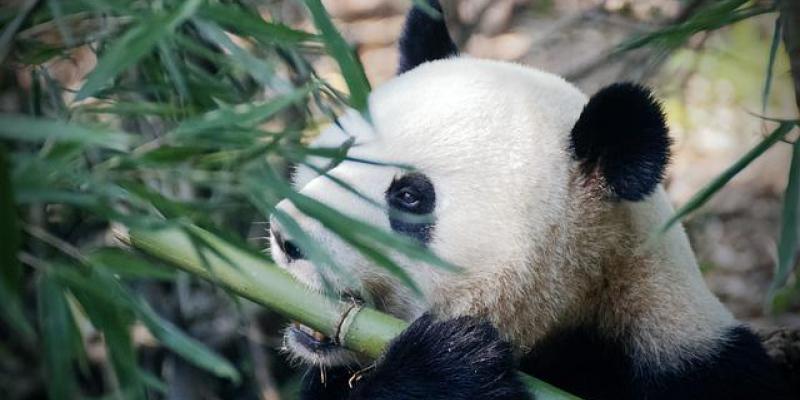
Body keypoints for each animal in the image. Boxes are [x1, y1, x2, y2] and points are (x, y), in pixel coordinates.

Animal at [266, 1, 792, 398]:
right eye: (338, 154)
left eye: (410, 197)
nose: (286, 236)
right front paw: (450, 365)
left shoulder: (689, 361)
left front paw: (451, 362)